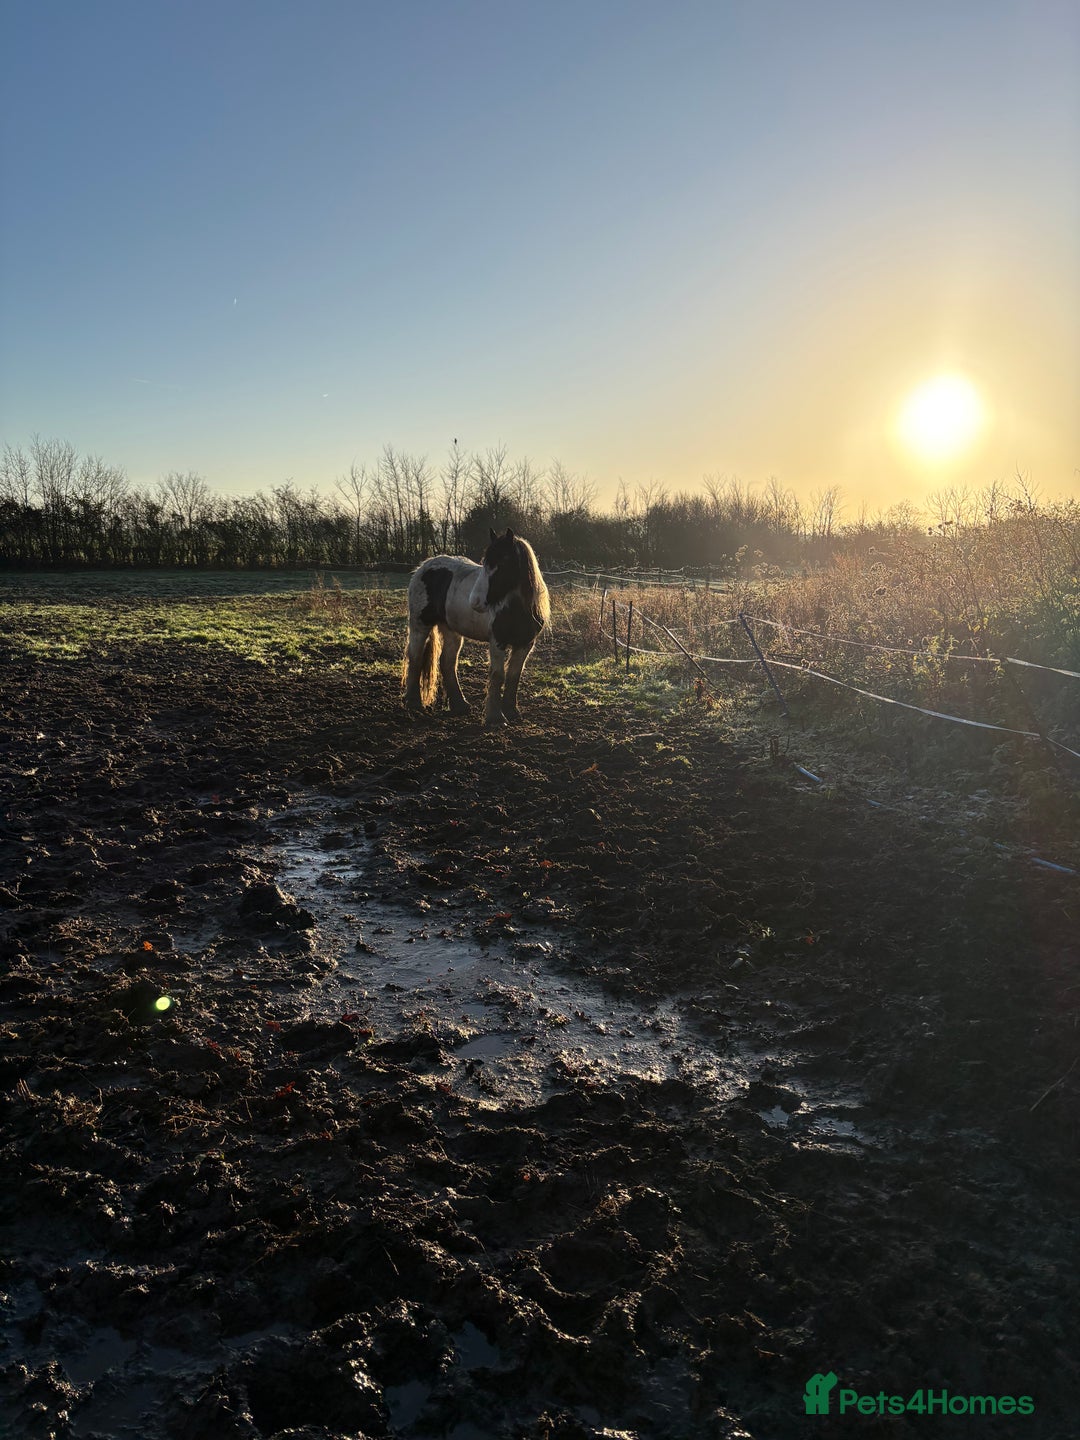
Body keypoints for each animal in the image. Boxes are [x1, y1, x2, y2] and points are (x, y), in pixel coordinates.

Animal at [402, 528, 550, 727]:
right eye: (484, 563)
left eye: (503, 562)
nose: (475, 602)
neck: (517, 608)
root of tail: (423, 567)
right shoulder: (497, 642)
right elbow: (498, 675)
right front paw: (495, 718)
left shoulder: (525, 644)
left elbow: (514, 676)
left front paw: (511, 711)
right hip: (420, 625)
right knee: (415, 657)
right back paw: (413, 702)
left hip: (451, 630)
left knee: (447, 662)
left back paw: (459, 704)